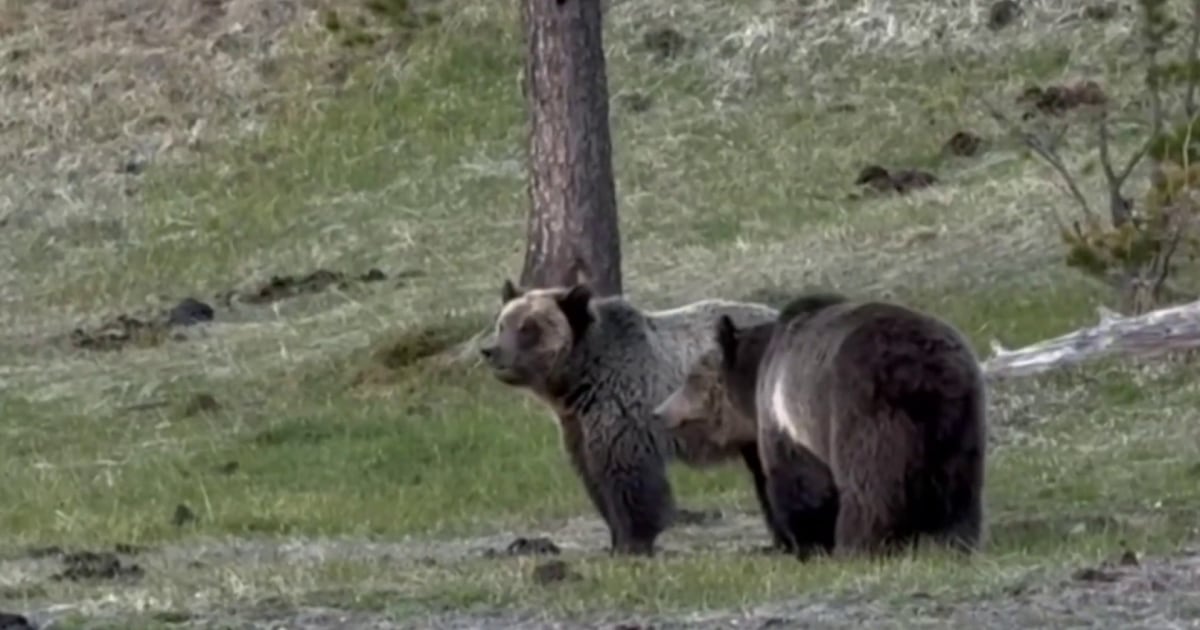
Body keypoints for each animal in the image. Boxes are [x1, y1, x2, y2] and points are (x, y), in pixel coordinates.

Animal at [478, 279, 780, 556]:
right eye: (502, 324)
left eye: (528, 328)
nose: (491, 351)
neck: (580, 380)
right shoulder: (577, 424)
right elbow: (594, 479)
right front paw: (614, 541)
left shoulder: (623, 408)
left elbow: (629, 480)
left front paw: (632, 542)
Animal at [655, 291, 988, 558]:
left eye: (692, 377)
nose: (660, 413)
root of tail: (922, 369)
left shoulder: (787, 419)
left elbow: (798, 482)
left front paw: (808, 543)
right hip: (959, 415)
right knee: (959, 483)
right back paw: (953, 539)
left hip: (863, 409)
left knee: (869, 484)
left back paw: (858, 544)